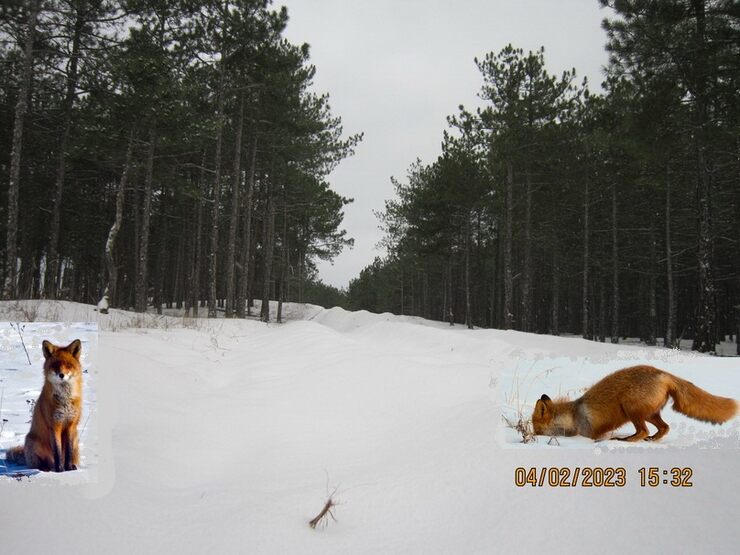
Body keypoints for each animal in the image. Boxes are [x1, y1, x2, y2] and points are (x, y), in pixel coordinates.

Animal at [5, 340, 83, 472]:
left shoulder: (70, 425)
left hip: (76, 439)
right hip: (32, 442)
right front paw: (59, 470)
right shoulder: (54, 425)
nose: (61, 375)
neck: (65, 401)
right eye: (55, 365)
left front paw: (68, 469)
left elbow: (67, 453)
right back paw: (45, 469)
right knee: (43, 463)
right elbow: (57, 452)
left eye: (68, 365)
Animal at [536, 364, 736, 444]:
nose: (533, 435)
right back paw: (651, 440)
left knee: (644, 431)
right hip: (649, 414)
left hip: (631, 408)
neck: (572, 416)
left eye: (536, 429)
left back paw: (625, 440)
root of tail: (663, 373)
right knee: (664, 427)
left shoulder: (586, 433)